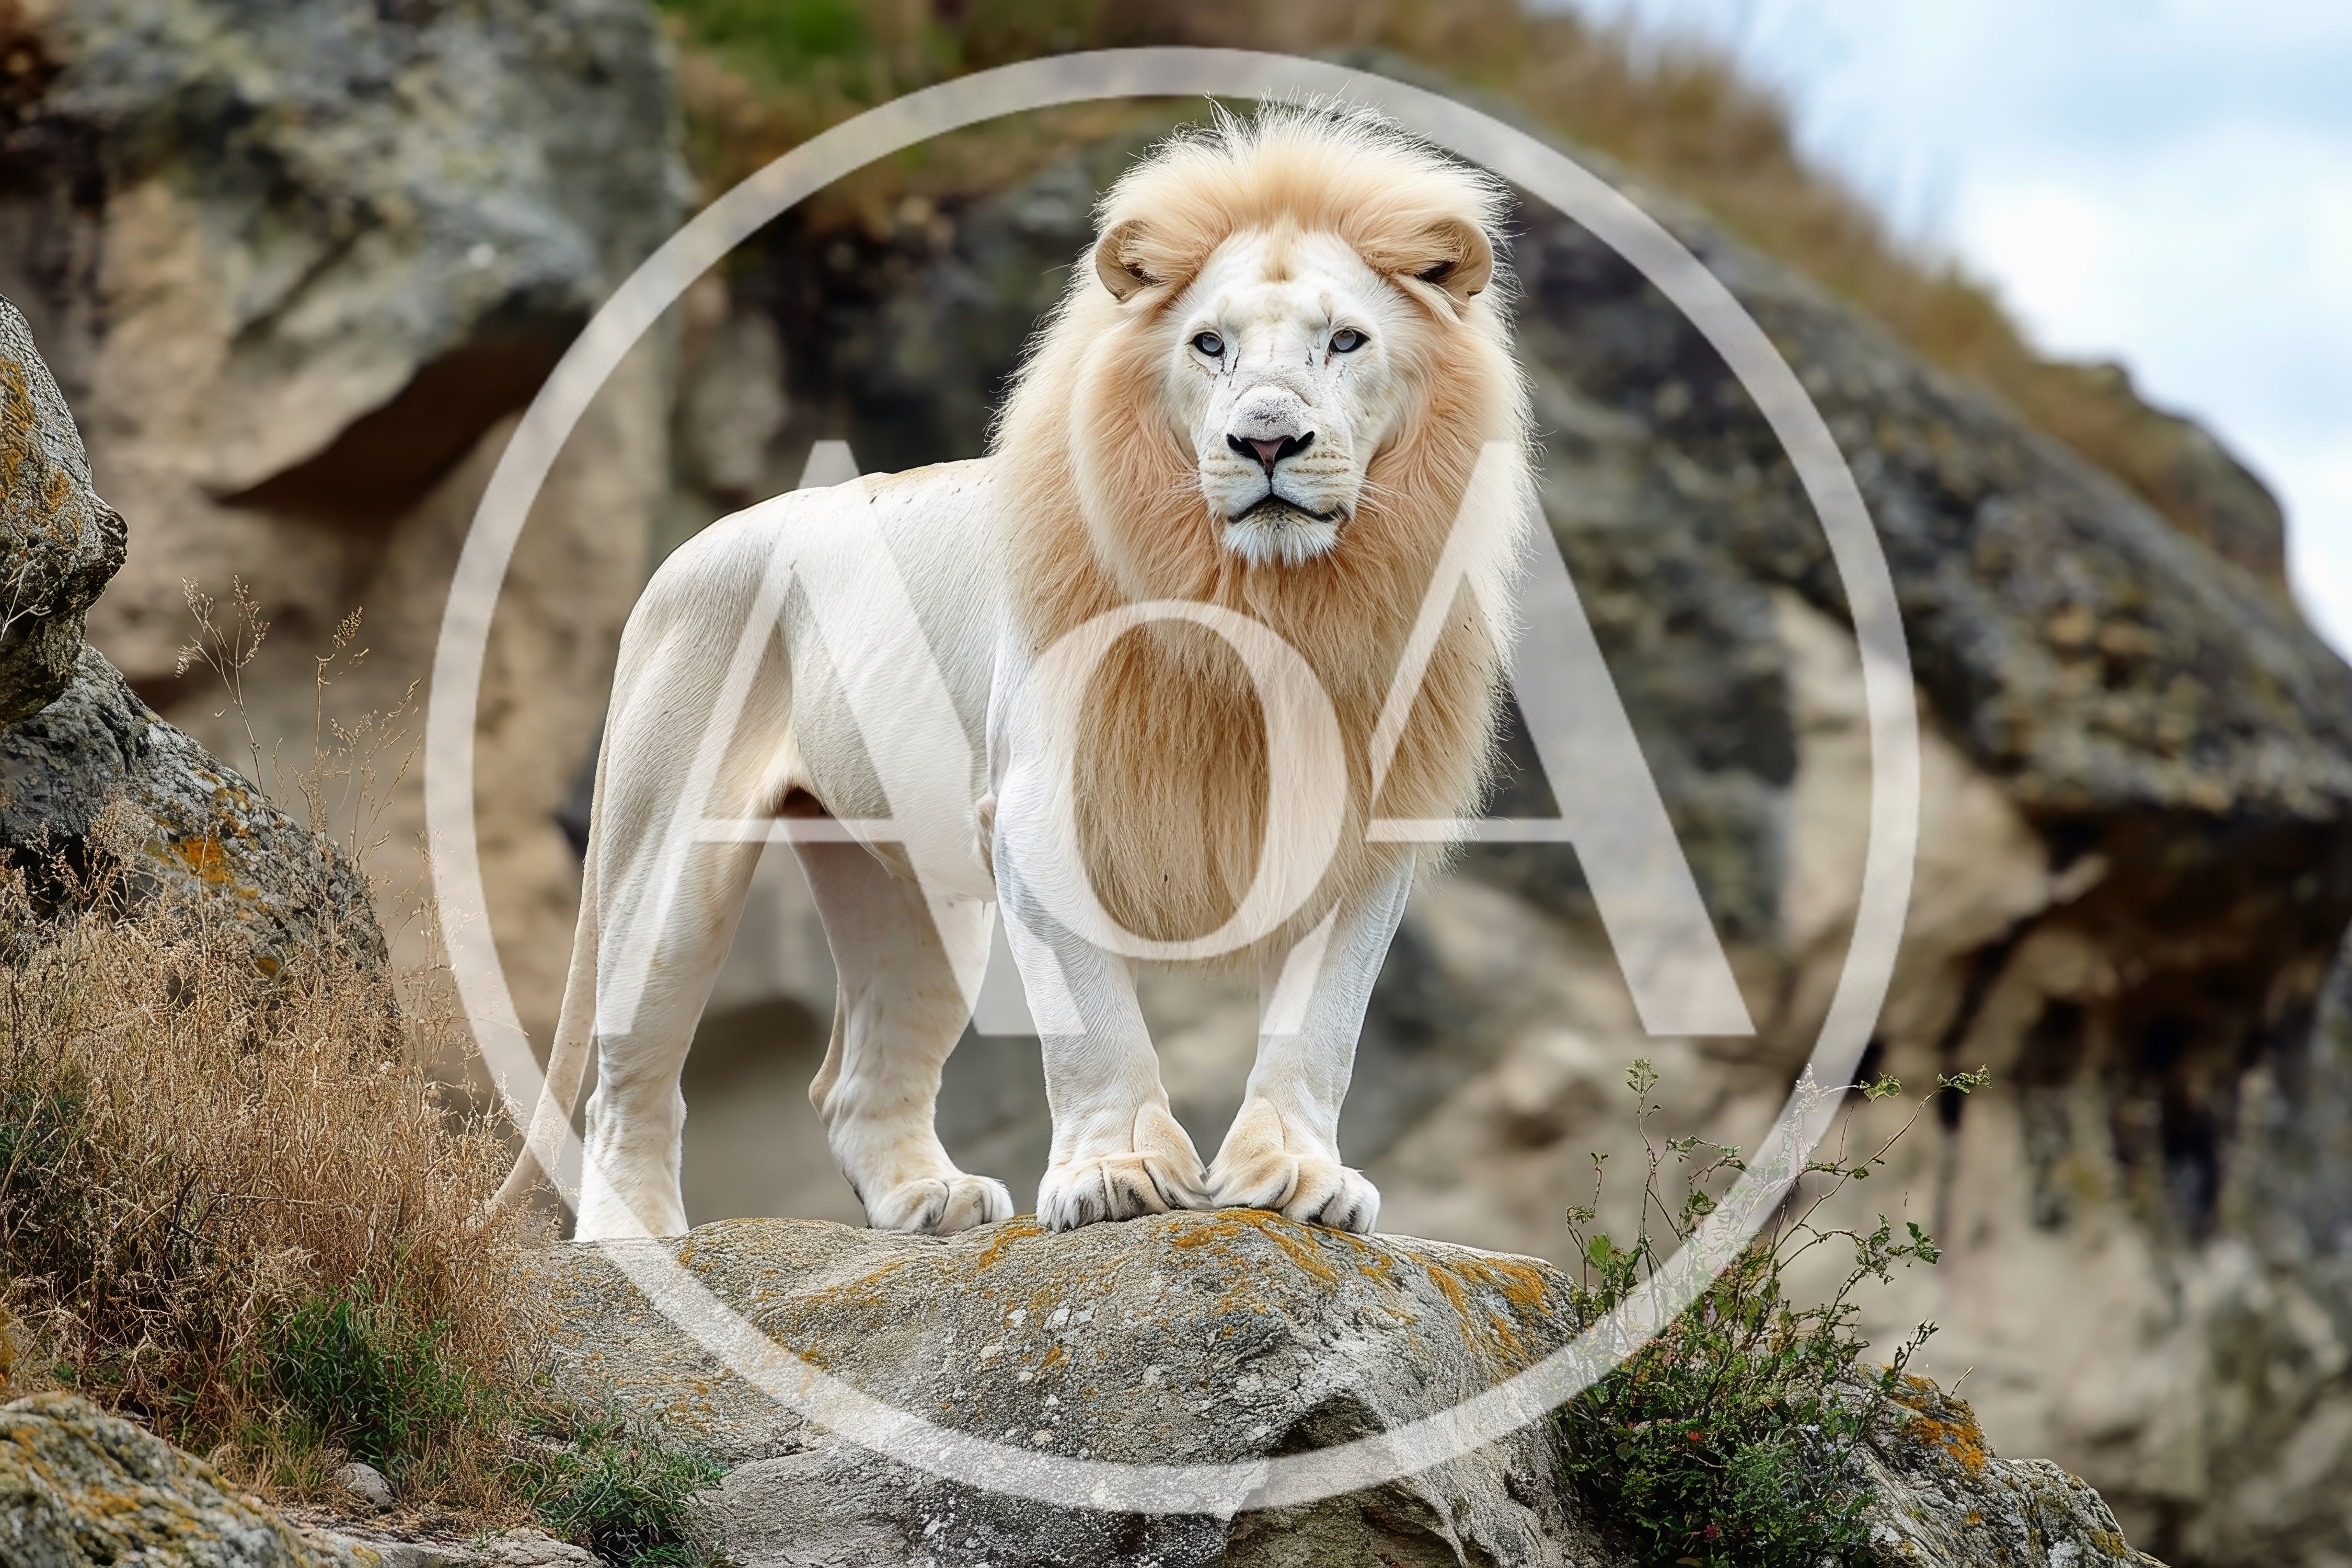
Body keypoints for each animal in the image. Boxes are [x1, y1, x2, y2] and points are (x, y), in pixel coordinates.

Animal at [494, 105, 1533, 1242]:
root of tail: (687, 554)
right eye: (1208, 344)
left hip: (915, 890)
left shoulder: (1364, 820)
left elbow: (1324, 1025)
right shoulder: (1043, 805)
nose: (1266, 442)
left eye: (1345, 341)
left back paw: (930, 1202)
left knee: (853, 1079)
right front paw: (1120, 1174)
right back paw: (633, 1237)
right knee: (629, 1072)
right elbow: (1094, 1021)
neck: (1266, 604)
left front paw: (1297, 1180)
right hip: (671, 857)